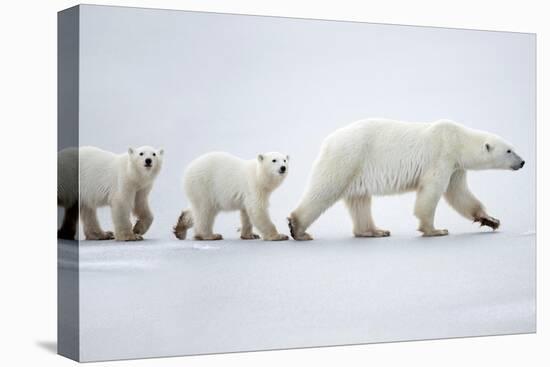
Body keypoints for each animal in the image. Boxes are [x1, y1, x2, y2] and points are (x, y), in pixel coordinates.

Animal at [288, 119, 528, 242]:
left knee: (359, 200)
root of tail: (328, 140)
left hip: (356, 168)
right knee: (325, 190)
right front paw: (435, 230)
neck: (457, 139)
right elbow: (431, 192)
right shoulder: (441, 155)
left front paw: (491, 220)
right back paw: (298, 228)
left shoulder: (456, 168)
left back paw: (375, 231)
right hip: (348, 158)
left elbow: (460, 194)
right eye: (509, 150)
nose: (523, 162)